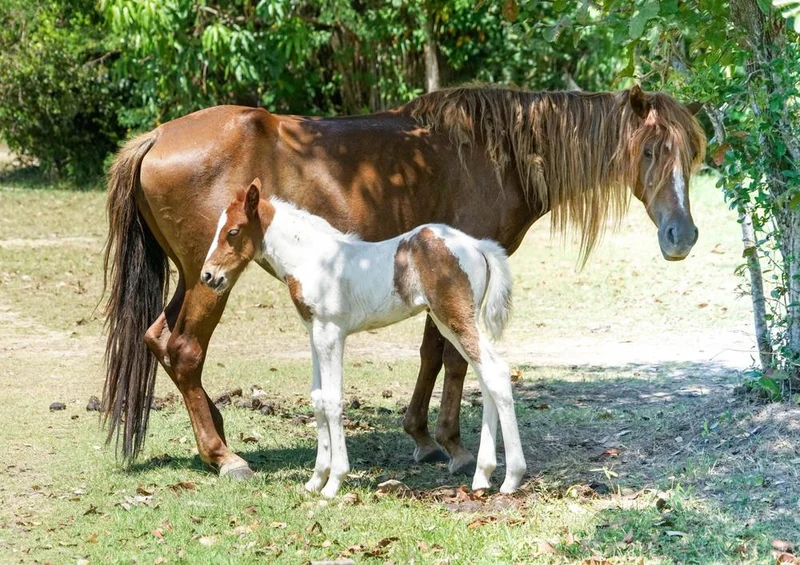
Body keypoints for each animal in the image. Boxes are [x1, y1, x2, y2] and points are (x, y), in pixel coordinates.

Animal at [200, 178, 524, 497]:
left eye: (233, 231)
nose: (208, 276)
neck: (312, 259)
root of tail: (477, 245)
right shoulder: (314, 333)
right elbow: (317, 398)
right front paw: (315, 481)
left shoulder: (331, 333)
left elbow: (332, 400)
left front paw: (334, 482)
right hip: (449, 323)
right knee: (486, 375)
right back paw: (482, 475)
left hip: (455, 319)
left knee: (496, 371)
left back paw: (511, 478)